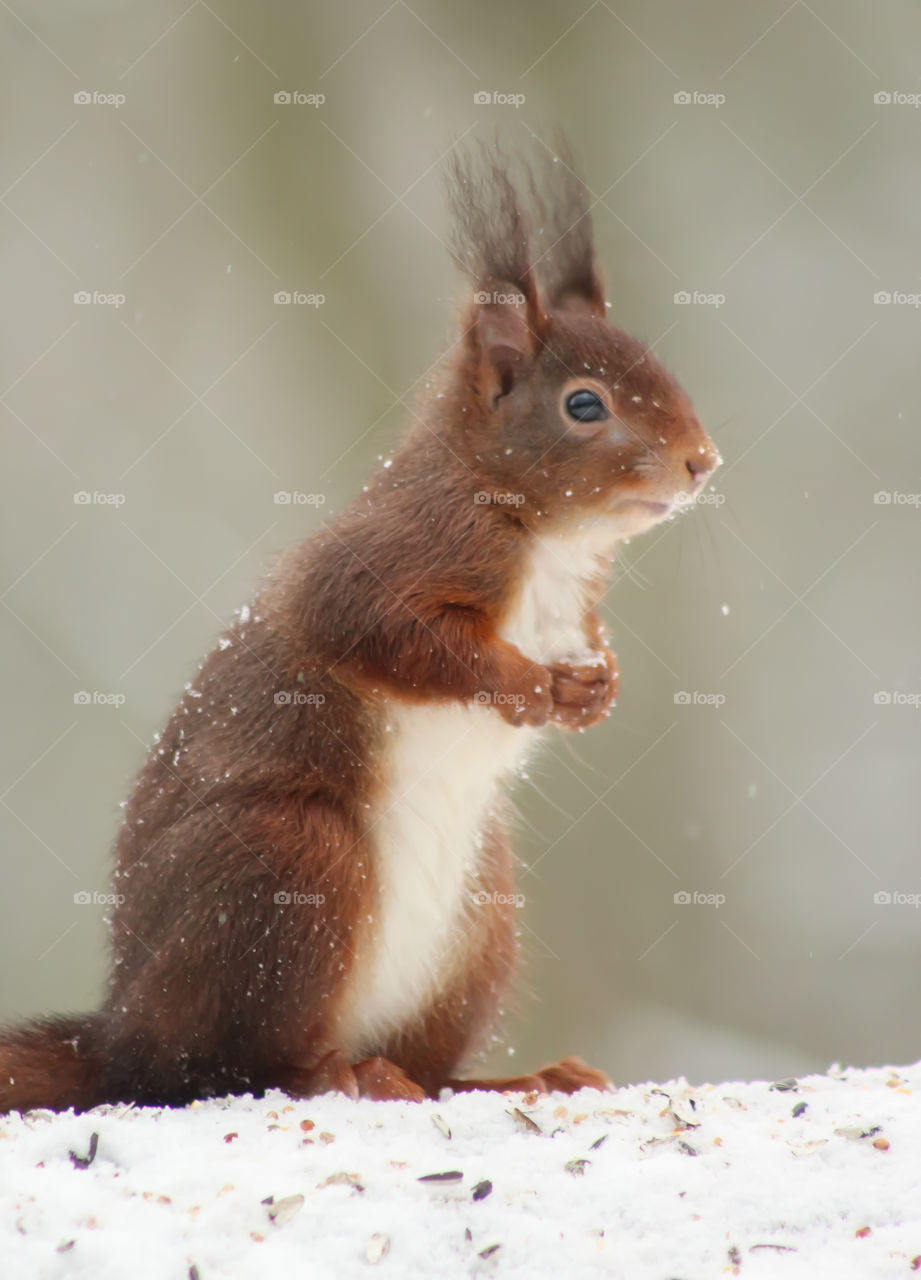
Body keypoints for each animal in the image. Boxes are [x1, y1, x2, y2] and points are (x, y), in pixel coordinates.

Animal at [0, 137, 721, 1111]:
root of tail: (118, 1032)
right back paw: (336, 1075)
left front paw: (595, 687)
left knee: (434, 1070)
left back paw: (517, 1077)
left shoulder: (572, 603)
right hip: (289, 866)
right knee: (225, 1066)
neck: (547, 542)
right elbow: (384, 635)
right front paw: (523, 685)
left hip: (480, 924)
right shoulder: (392, 560)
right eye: (583, 405)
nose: (702, 461)